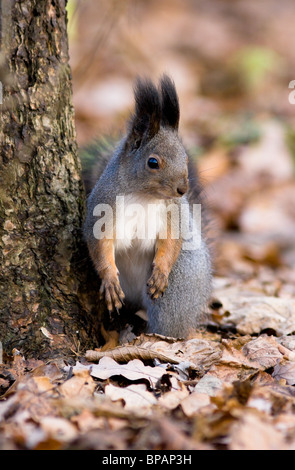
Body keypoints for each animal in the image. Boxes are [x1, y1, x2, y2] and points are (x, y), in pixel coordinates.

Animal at [83, 76, 213, 338]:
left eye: (185, 158)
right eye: (153, 163)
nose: (183, 189)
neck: (145, 196)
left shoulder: (174, 212)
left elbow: (172, 239)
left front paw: (161, 271)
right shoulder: (102, 208)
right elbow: (100, 245)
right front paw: (110, 280)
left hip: (178, 288)